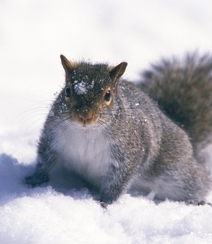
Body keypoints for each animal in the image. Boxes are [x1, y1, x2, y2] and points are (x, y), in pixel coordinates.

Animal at [24, 53, 212, 206]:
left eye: (108, 95)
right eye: (68, 91)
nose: (84, 116)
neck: (87, 132)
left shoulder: (129, 153)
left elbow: (117, 182)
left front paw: (105, 202)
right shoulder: (52, 138)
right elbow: (44, 161)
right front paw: (34, 181)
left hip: (179, 175)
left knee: (200, 183)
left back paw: (198, 202)